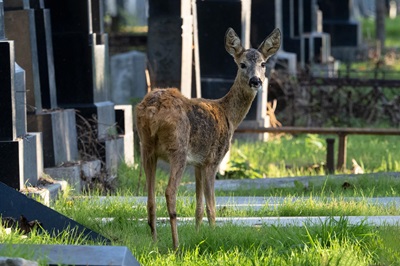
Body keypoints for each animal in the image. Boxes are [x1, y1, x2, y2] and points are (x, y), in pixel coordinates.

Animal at [136, 27, 280, 249]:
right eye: (242, 64)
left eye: (263, 63)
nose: (255, 81)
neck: (229, 115)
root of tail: (152, 109)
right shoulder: (213, 159)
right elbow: (211, 206)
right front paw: (213, 235)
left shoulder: (198, 163)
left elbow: (199, 207)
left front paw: (198, 234)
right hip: (178, 148)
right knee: (169, 191)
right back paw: (176, 245)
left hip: (146, 147)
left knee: (150, 198)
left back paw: (154, 243)